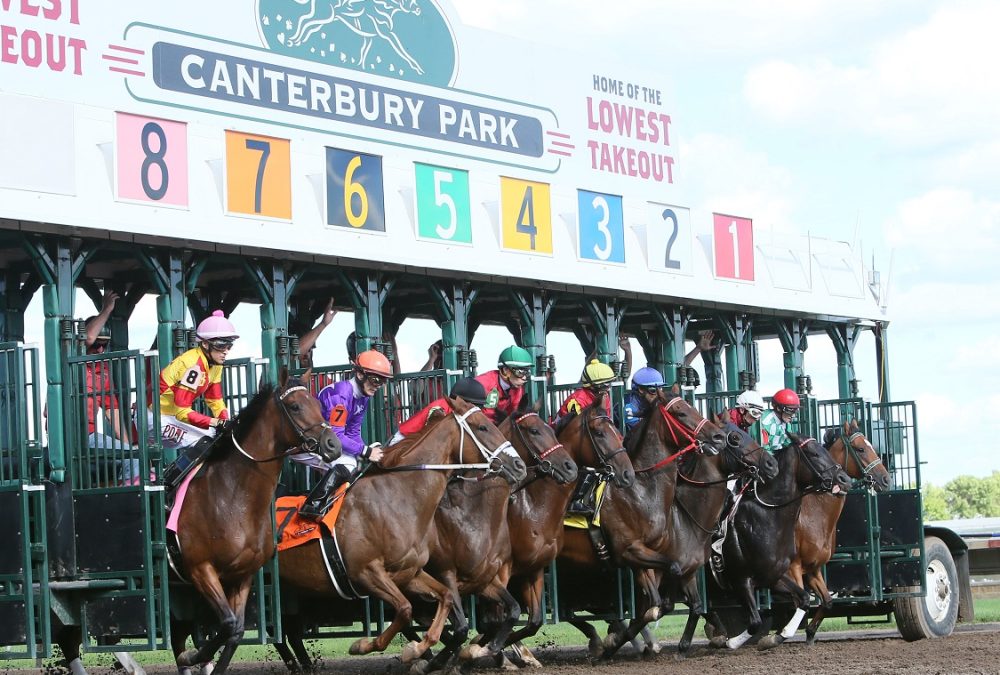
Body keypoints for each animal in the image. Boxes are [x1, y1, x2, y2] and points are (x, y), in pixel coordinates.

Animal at [171, 370, 340, 675]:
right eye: (295, 407)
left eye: (318, 405)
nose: (333, 445)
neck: (232, 496)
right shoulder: (200, 568)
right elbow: (227, 624)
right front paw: (192, 657)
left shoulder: (242, 574)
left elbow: (235, 630)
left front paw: (201, 661)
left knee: (178, 632)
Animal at [274, 398, 524, 668]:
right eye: (482, 427)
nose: (519, 465)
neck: (397, 497)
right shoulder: (366, 571)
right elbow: (406, 610)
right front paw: (366, 645)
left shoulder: (410, 573)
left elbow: (449, 600)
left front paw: (424, 649)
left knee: (288, 631)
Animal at [556, 390, 728, 660]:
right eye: (680, 412)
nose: (718, 436)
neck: (641, 491)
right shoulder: (629, 550)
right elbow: (663, 592)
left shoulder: (643, 556)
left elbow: (656, 601)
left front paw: (624, 640)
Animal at [712, 436, 852, 652]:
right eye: (814, 453)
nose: (845, 479)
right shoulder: (742, 579)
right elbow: (755, 621)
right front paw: (733, 641)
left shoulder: (776, 574)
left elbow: (808, 600)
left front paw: (779, 636)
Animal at [788, 420, 892, 648]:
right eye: (860, 449)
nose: (886, 480)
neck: (813, 514)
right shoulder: (793, 566)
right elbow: (800, 602)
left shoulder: (813, 568)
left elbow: (828, 602)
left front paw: (810, 634)